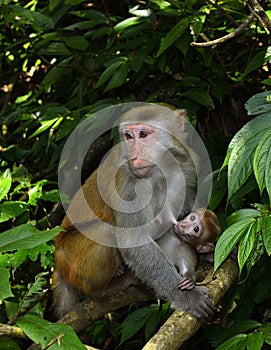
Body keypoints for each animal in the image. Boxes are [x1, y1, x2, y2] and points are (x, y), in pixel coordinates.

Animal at [54, 103, 214, 320]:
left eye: (143, 134)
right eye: (128, 136)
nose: (134, 156)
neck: (160, 172)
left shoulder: (188, 167)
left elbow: (177, 228)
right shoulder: (127, 184)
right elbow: (133, 241)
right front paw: (187, 298)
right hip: (71, 259)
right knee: (108, 231)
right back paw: (107, 288)